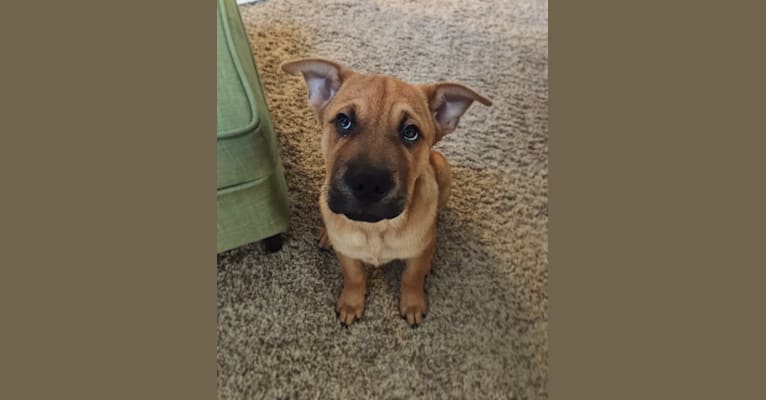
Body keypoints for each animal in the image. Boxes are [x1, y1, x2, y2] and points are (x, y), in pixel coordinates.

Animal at [284, 57, 492, 324]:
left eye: (410, 132)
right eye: (343, 121)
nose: (368, 185)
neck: (376, 228)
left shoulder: (414, 257)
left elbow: (411, 278)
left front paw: (412, 304)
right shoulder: (348, 255)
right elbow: (354, 277)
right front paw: (352, 303)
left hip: (442, 168)